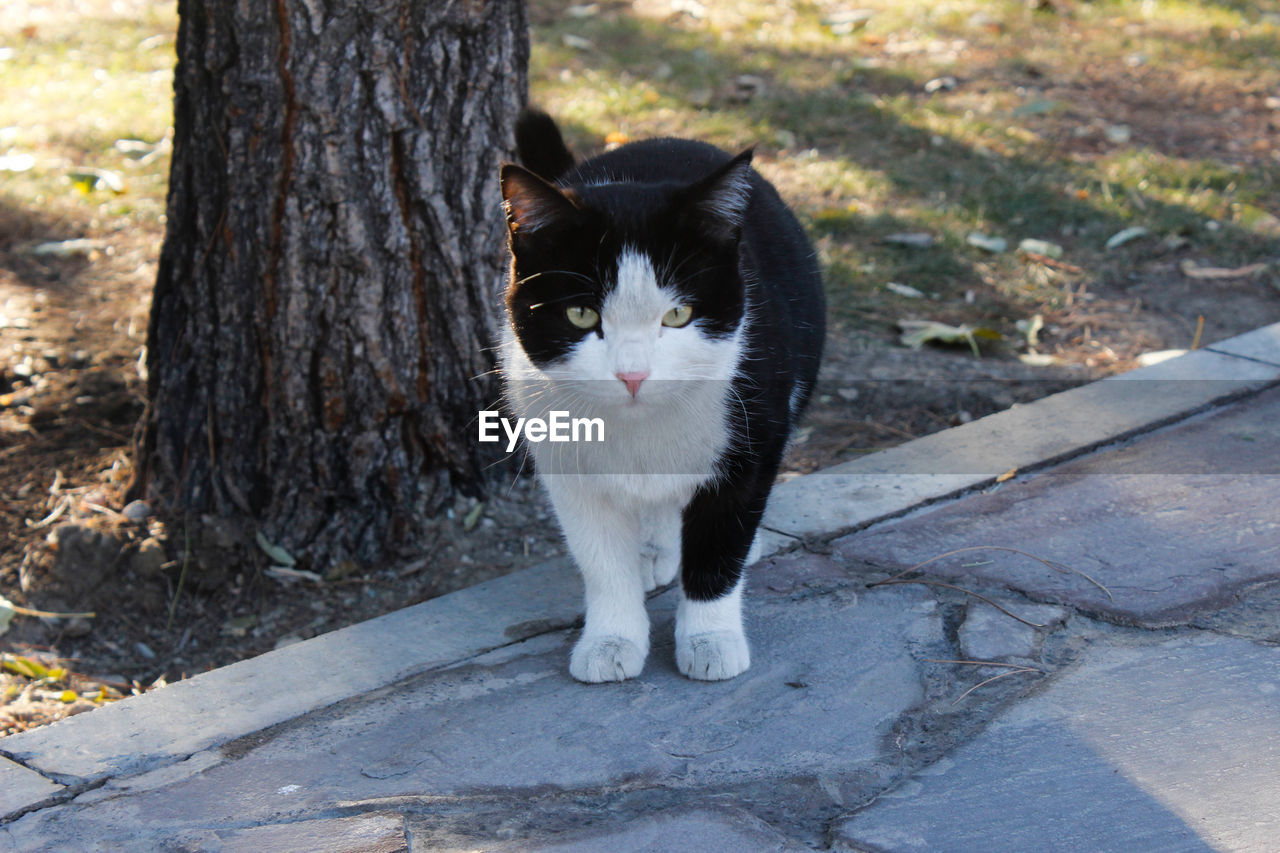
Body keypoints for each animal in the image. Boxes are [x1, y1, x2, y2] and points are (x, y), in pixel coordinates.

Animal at [494, 109, 824, 681]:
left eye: (678, 314)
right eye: (580, 314)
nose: (633, 375)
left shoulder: (754, 428)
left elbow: (720, 541)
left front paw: (710, 637)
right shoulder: (563, 458)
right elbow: (601, 558)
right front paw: (611, 638)